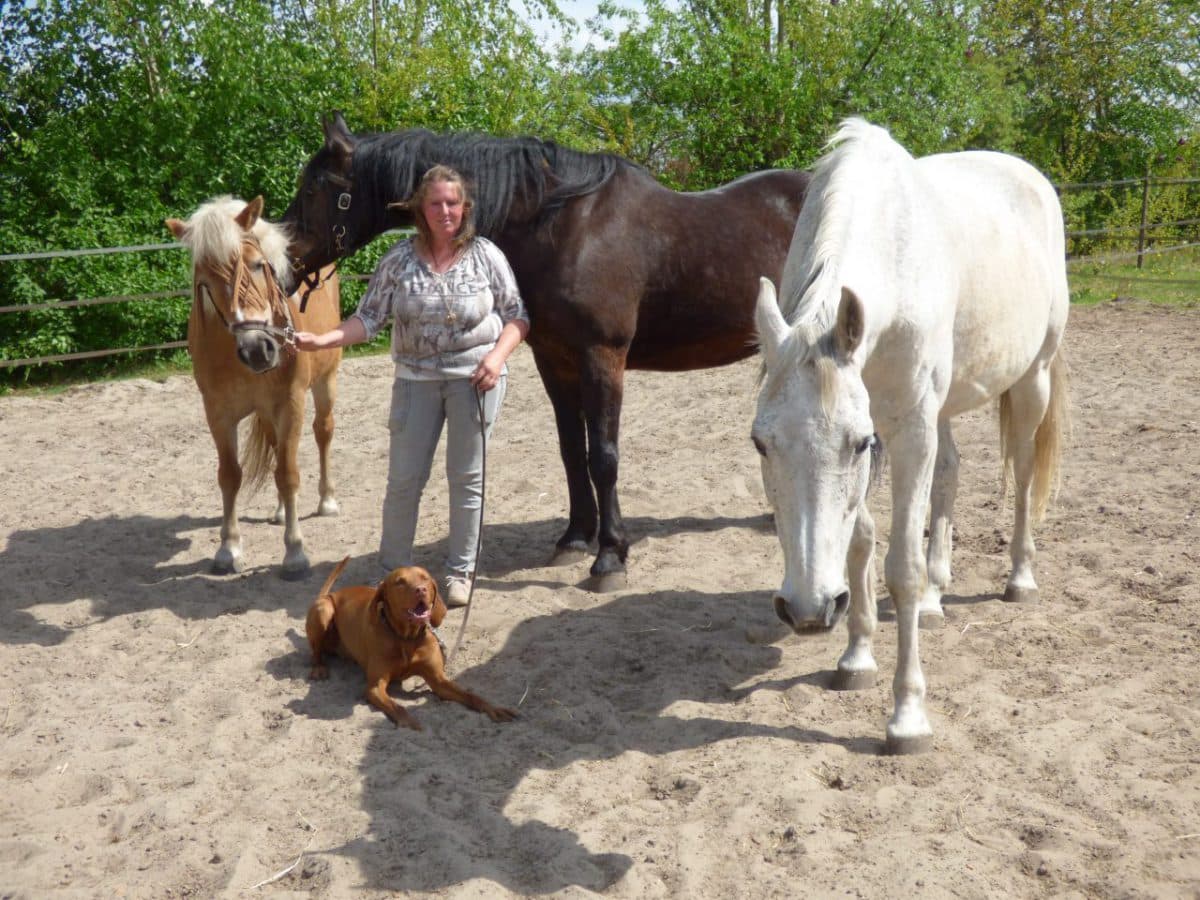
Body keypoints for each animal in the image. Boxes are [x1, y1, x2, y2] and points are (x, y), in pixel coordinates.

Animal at [166, 196, 343, 579]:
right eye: (205, 282)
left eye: (259, 265)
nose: (258, 349)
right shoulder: (218, 413)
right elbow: (230, 476)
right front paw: (228, 549)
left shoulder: (291, 404)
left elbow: (288, 474)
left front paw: (295, 553)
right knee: (277, 449)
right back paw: (279, 512)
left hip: (326, 382)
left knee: (323, 432)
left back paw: (327, 500)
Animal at [279, 113, 809, 590]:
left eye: (314, 188)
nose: (282, 266)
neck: (563, 225)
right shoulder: (554, 361)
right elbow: (572, 451)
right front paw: (575, 539)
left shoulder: (602, 357)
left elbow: (604, 457)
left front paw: (610, 557)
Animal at [752, 119, 1069, 754]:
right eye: (760, 444)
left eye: (855, 444)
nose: (807, 610)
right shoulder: (894, 423)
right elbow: (859, 542)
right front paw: (856, 658)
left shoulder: (905, 431)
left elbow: (900, 565)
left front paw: (907, 716)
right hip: (945, 408)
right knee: (949, 473)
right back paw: (934, 598)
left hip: (1032, 379)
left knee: (1023, 476)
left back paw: (1019, 579)